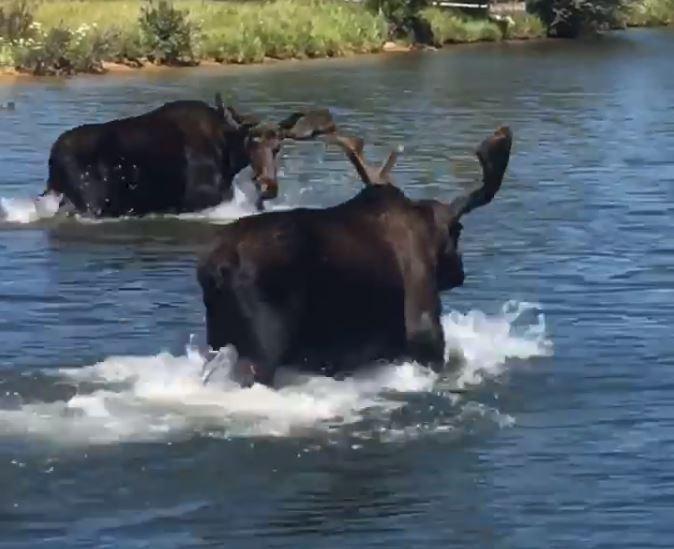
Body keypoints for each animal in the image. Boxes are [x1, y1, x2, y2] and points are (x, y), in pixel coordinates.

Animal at [40, 94, 334, 216]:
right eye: (251, 143)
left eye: (277, 147)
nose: (268, 186)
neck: (228, 156)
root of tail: (52, 160)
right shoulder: (197, 199)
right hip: (91, 203)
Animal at [197, 124, 512, 386]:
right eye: (457, 233)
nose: (460, 273)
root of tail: (217, 268)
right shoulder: (425, 331)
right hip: (261, 347)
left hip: (216, 339)